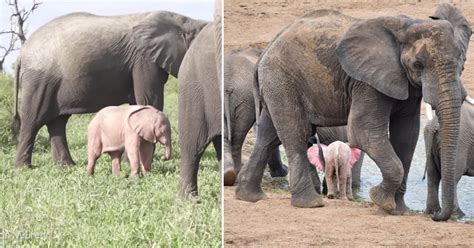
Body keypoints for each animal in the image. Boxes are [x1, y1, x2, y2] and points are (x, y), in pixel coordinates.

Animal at [12, 11, 207, 167]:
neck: (183, 20)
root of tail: (21, 53)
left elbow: (137, 105)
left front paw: (131, 161)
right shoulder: (144, 59)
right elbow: (150, 101)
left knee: (58, 122)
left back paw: (66, 165)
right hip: (40, 80)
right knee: (33, 120)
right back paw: (24, 168)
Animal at [236, 3, 470, 221]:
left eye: (462, 65)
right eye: (418, 65)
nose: (435, 216)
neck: (407, 26)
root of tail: (265, 51)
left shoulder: (404, 82)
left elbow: (407, 135)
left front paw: (399, 210)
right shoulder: (366, 81)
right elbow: (363, 132)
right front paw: (380, 200)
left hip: (276, 84)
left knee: (268, 135)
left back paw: (249, 196)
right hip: (282, 80)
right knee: (295, 134)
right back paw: (310, 203)